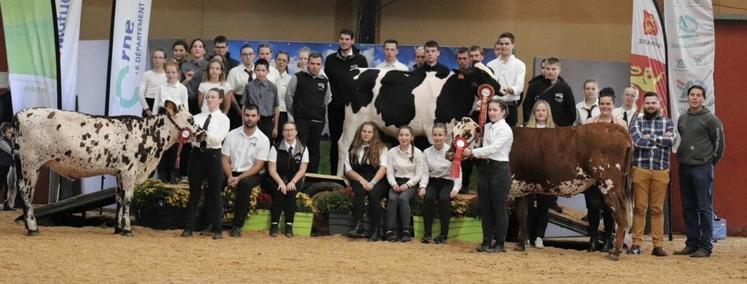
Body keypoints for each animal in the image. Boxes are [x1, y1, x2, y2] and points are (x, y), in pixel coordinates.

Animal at [13, 101, 205, 236]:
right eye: (190, 119)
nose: (203, 134)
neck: (148, 134)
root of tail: (21, 114)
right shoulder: (129, 171)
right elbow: (128, 200)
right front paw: (127, 230)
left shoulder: (119, 173)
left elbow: (119, 199)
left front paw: (118, 228)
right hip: (30, 164)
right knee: (26, 193)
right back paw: (32, 228)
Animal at [338, 62, 502, 175]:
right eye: (479, 76)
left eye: (492, 72)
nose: (501, 88)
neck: (451, 92)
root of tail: (355, 70)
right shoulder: (433, 128)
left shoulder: (451, 132)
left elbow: (450, 154)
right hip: (352, 119)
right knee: (344, 145)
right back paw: (341, 178)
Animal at [452, 118, 636, 260]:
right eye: (453, 133)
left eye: (467, 134)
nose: (450, 154)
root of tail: (615, 127)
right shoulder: (521, 189)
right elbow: (522, 215)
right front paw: (521, 245)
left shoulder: (508, 189)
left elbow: (501, 216)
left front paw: (497, 244)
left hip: (609, 184)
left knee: (620, 216)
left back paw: (615, 253)